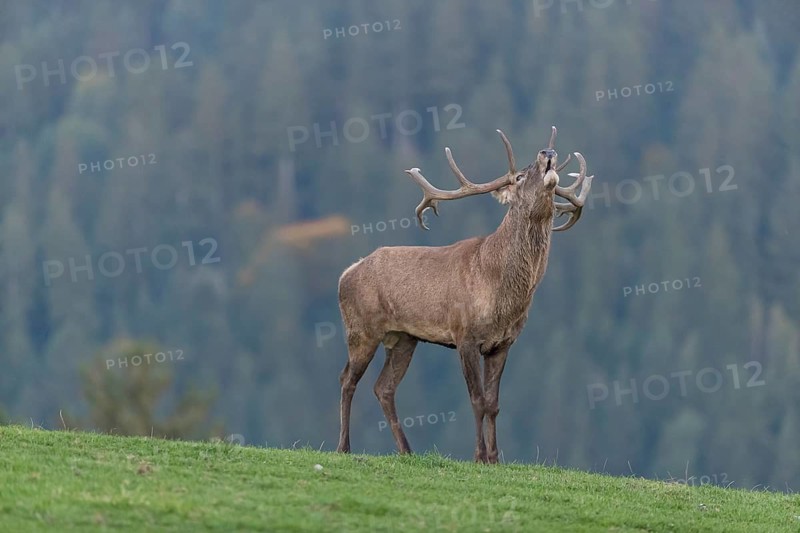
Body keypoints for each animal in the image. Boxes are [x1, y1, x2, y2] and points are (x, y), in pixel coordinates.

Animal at [336, 126, 594, 463]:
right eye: (519, 176)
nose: (547, 153)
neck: (497, 289)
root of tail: (346, 274)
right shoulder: (464, 335)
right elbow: (477, 399)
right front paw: (479, 456)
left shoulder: (503, 343)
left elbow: (494, 404)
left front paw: (496, 458)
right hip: (361, 329)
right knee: (347, 380)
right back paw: (343, 446)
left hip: (404, 338)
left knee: (383, 388)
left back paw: (407, 450)